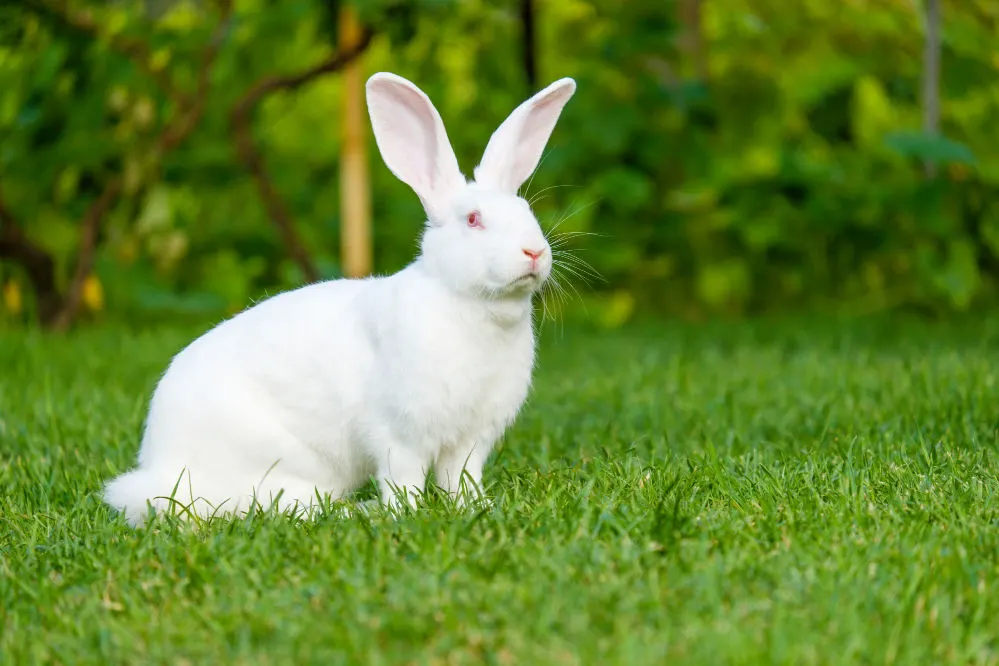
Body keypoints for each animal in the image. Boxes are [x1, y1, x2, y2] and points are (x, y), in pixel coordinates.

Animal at [103, 68, 580, 524]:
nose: (535, 252)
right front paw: (406, 513)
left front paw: (473, 506)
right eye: (474, 220)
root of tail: (156, 470)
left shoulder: (468, 440)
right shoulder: (398, 432)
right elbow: (403, 479)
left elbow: (459, 478)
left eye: (527, 212)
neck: (470, 304)